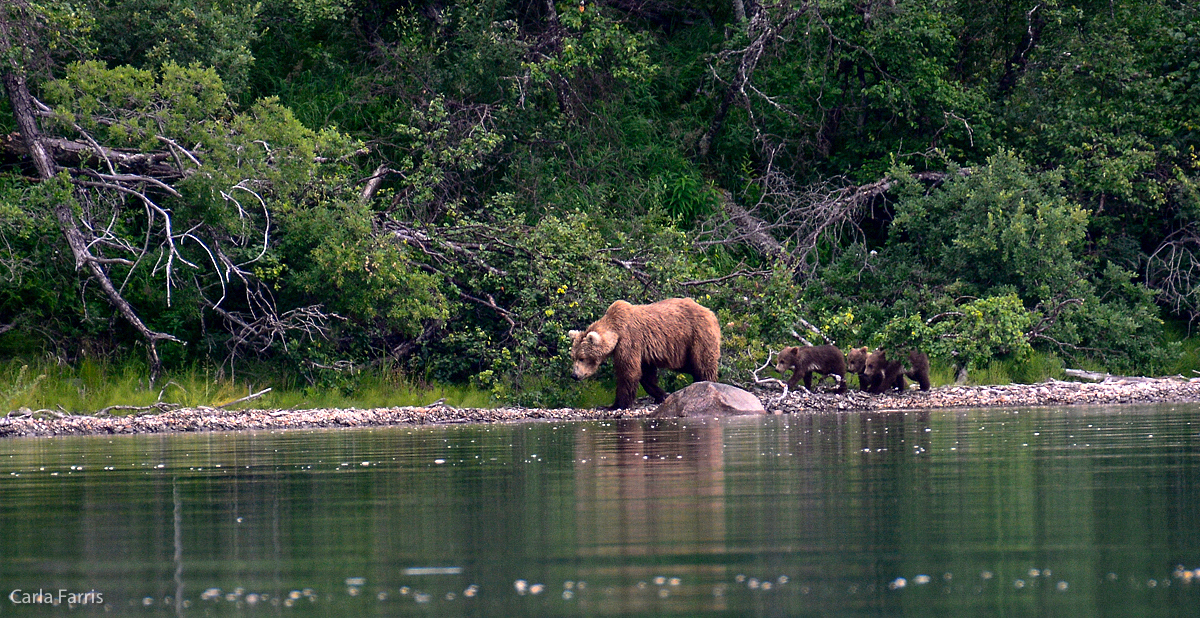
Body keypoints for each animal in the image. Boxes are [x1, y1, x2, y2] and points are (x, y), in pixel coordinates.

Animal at [566, 298, 715, 410]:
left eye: (582, 358)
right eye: (573, 357)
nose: (574, 375)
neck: (616, 331)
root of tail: (708, 311)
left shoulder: (629, 341)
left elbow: (628, 372)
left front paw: (615, 405)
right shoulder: (644, 352)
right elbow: (646, 375)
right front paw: (661, 395)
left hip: (696, 335)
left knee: (702, 363)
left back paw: (705, 383)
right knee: (690, 365)